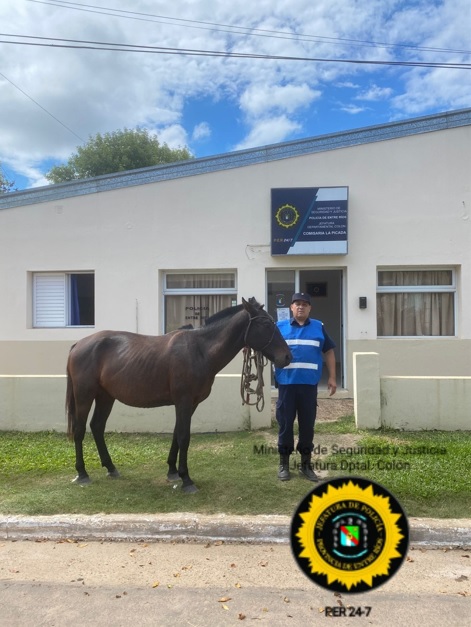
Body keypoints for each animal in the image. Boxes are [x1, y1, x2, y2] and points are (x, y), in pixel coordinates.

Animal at [66, 297, 291, 493]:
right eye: (266, 323)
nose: (287, 357)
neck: (200, 350)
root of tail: (78, 344)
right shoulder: (183, 401)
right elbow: (184, 436)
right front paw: (186, 479)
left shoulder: (191, 403)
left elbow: (176, 433)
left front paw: (173, 472)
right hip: (85, 395)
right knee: (80, 429)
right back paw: (82, 473)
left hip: (106, 396)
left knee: (97, 426)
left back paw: (111, 468)